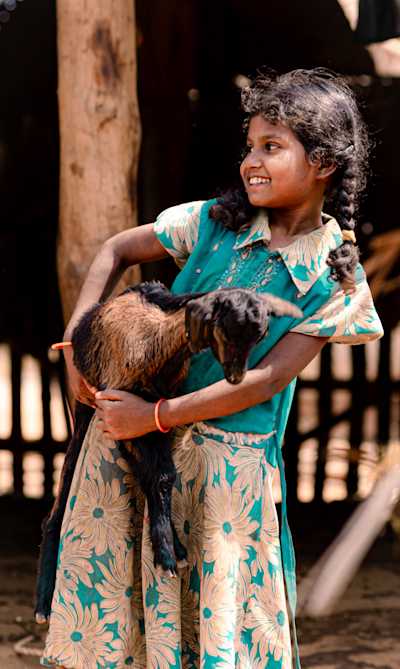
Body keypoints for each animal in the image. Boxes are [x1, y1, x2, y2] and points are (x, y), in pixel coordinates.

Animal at [35, 282, 302, 623]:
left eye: (259, 336)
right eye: (224, 330)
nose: (236, 377)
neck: (157, 342)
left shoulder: (146, 415)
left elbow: (162, 476)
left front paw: (172, 552)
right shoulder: (119, 405)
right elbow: (160, 476)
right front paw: (166, 555)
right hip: (87, 407)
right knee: (62, 496)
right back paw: (43, 605)